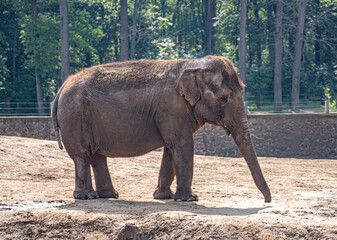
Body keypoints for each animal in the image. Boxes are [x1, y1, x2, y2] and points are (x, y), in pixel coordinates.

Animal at [52, 55, 272, 202]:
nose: (267, 200)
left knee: (97, 156)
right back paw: (88, 196)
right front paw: (190, 199)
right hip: (75, 117)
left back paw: (109, 196)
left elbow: (170, 148)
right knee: (82, 155)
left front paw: (163, 197)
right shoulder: (171, 107)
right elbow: (183, 145)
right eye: (223, 99)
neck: (192, 65)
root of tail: (62, 86)